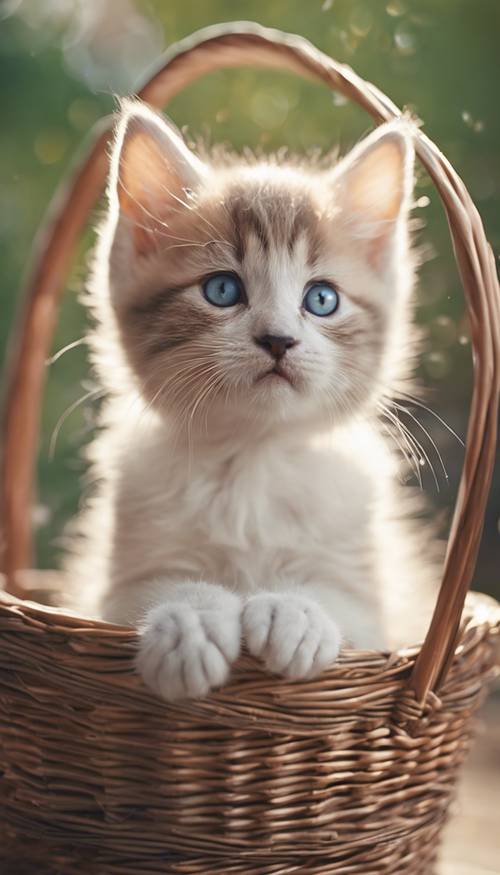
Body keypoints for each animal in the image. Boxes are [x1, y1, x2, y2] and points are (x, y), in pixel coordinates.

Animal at [67, 101, 438, 704]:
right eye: (222, 290)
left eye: (322, 299)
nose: (278, 339)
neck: (251, 460)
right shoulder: (114, 587)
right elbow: (154, 588)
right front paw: (191, 621)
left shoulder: (377, 608)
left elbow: (341, 602)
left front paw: (297, 612)